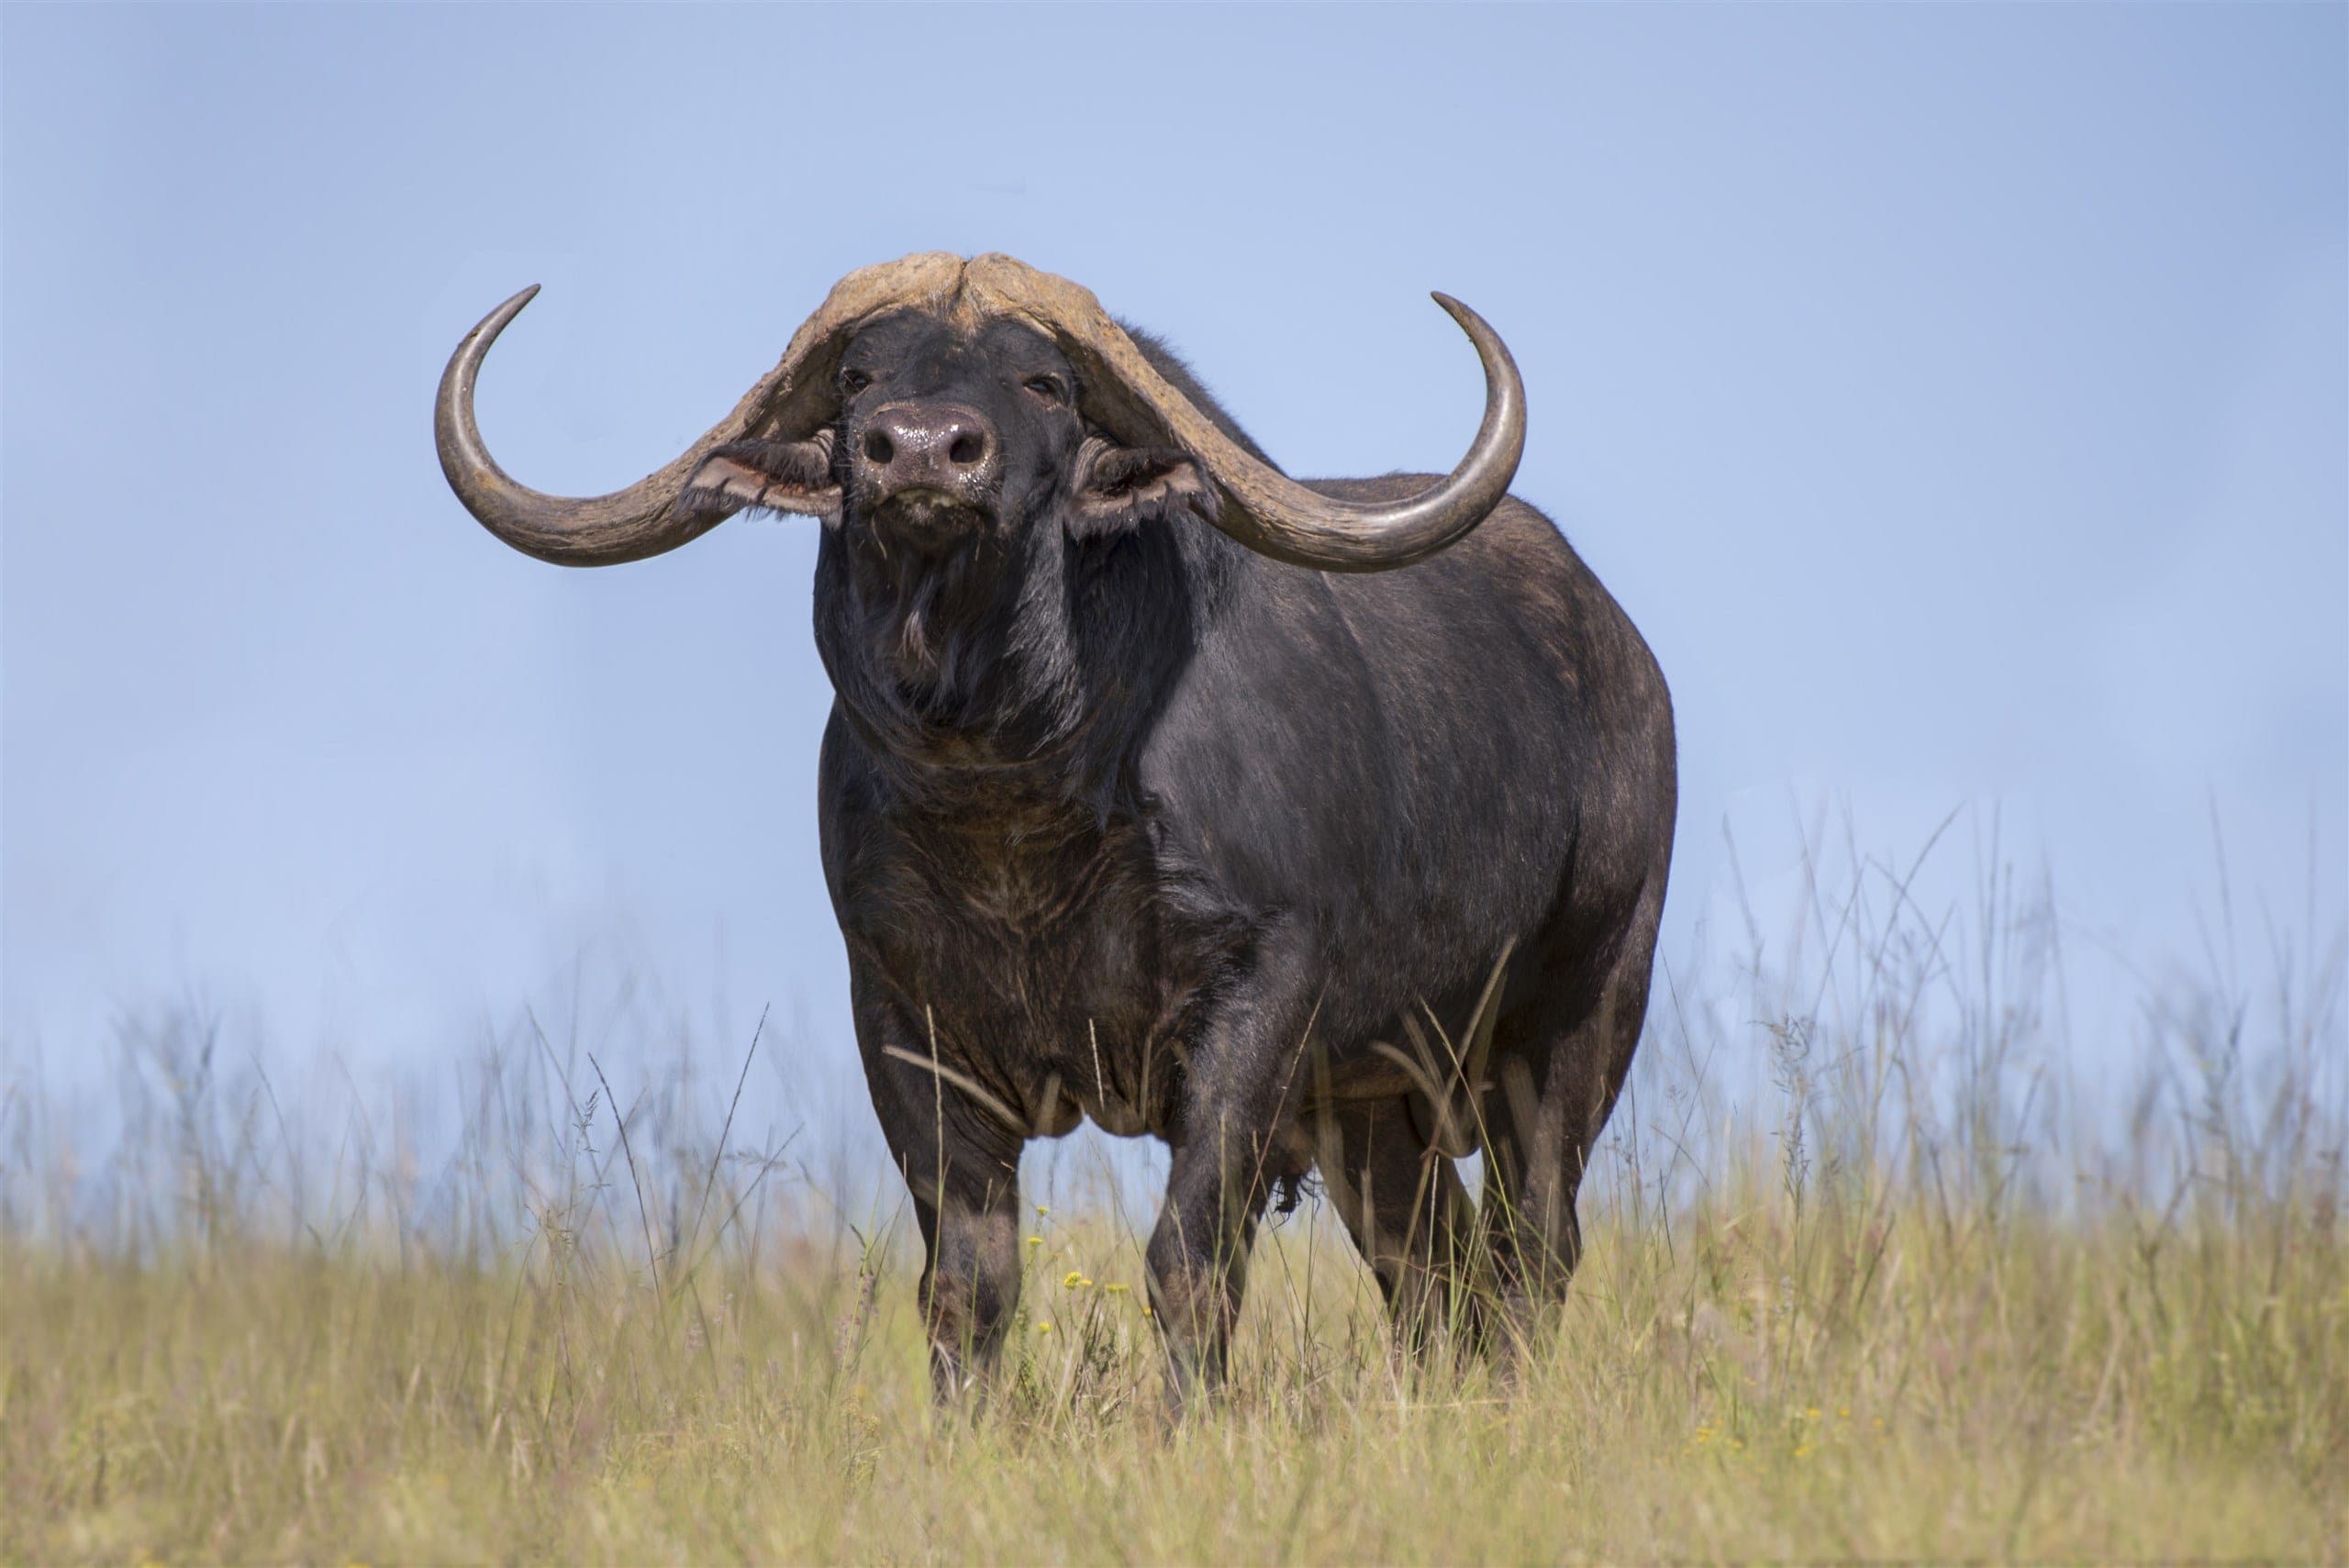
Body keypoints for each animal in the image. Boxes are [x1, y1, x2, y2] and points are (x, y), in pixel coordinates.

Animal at [435, 253, 1676, 1406]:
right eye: (858, 376)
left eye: (1044, 380)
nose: (920, 450)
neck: (1016, 809)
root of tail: (1622, 653)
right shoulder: (902, 1024)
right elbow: (966, 1282)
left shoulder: (1261, 1001)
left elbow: (1189, 1258)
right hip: (1372, 1106)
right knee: (1432, 1266)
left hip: (1578, 1013)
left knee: (1531, 1243)